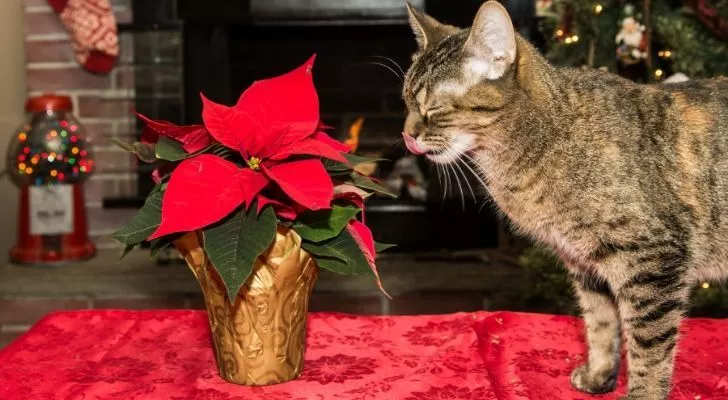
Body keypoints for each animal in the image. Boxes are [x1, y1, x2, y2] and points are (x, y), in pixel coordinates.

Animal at [400, 1, 728, 398]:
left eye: (433, 108)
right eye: (405, 101)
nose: (405, 135)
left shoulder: (651, 260)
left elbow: (648, 346)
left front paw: (641, 392)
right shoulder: (586, 265)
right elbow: (600, 324)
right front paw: (600, 375)